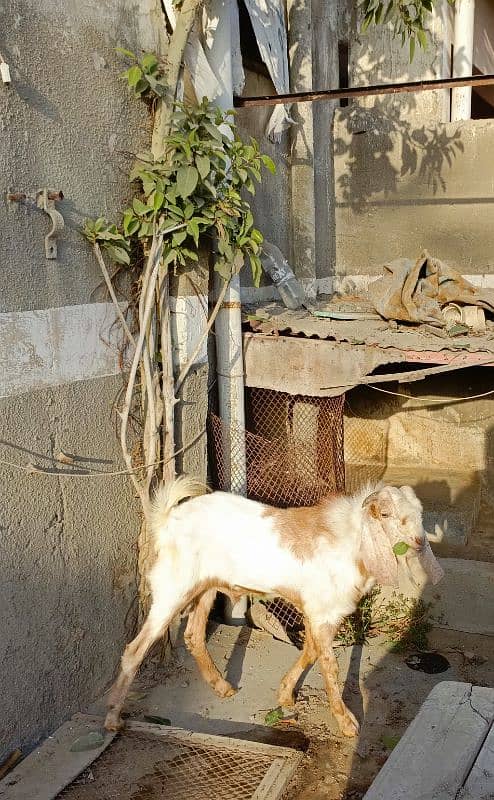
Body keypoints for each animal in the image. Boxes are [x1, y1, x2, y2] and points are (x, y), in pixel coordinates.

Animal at [105, 476, 444, 736]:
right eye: (384, 515)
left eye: (419, 514)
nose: (417, 542)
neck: (350, 543)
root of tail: (167, 521)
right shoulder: (322, 614)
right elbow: (329, 664)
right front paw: (347, 723)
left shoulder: (317, 612)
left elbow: (310, 651)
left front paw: (284, 694)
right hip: (173, 589)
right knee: (135, 649)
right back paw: (112, 719)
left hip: (206, 587)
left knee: (193, 635)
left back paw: (222, 686)